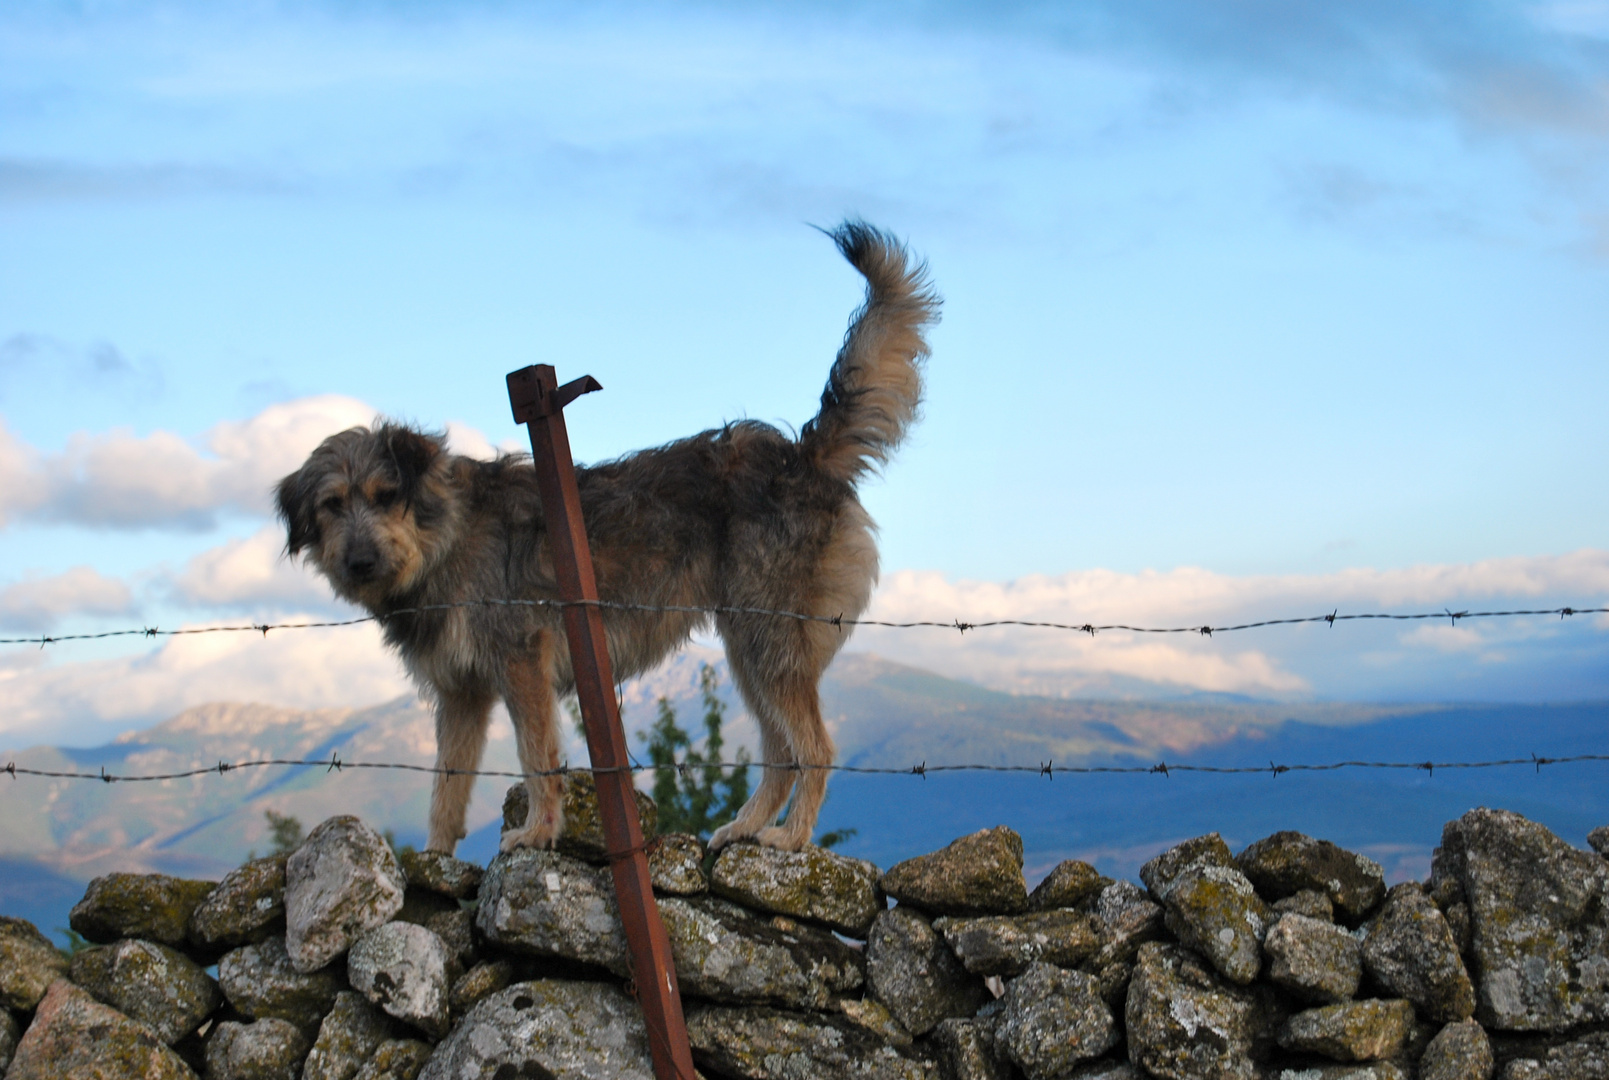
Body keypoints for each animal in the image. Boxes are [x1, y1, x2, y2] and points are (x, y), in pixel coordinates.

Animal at [273, 223, 933, 856]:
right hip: (750, 648)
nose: (359, 562)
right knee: (780, 750)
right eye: (331, 506)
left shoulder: (522, 662)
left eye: (387, 495)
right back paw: (746, 826)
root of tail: (801, 454)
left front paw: (538, 832)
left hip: (769, 641)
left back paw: (791, 838)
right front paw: (433, 862)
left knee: (814, 748)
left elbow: (536, 759)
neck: (445, 538)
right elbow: (446, 789)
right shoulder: (461, 694)